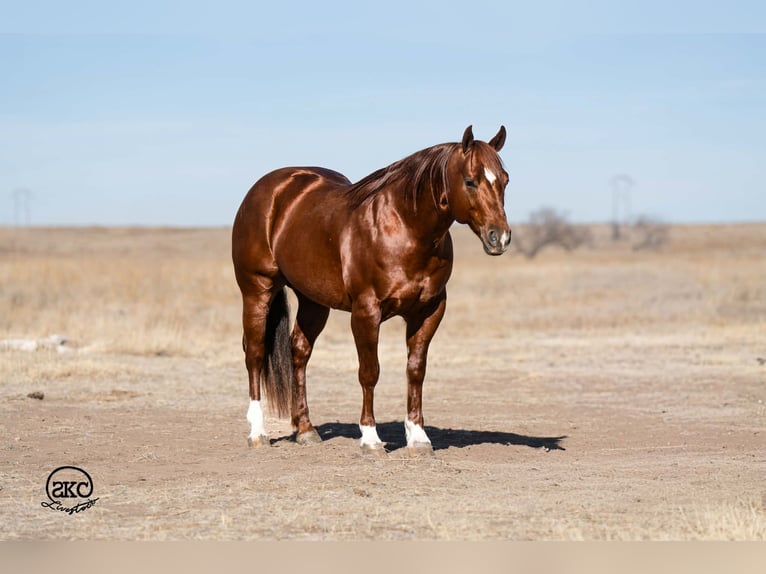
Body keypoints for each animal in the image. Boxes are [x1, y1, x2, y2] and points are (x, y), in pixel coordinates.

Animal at [232, 125, 511, 451]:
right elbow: (369, 372)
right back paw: (258, 432)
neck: (404, 227)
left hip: (314, 301)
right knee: (254, 352)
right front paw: (370, 437)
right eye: (470, 180)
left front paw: (418, 436)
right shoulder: (366, 311)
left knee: (298, 351)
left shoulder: (429, 311)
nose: (500, 237)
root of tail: (270, 189)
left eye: (505, 179)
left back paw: (305, 429)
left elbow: (416, 370)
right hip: (257, 289)